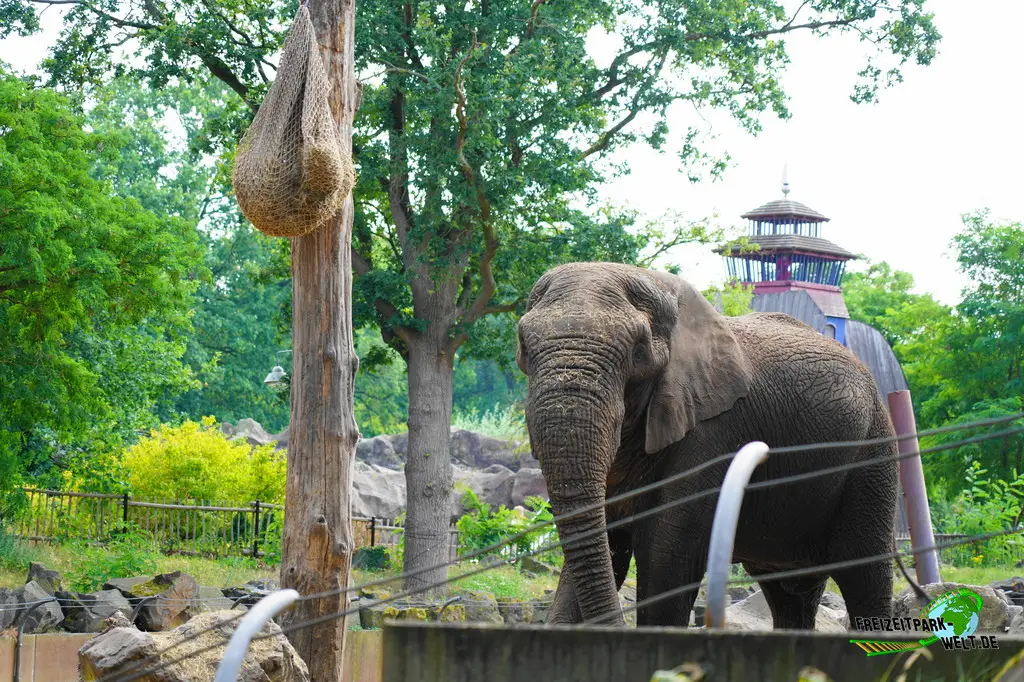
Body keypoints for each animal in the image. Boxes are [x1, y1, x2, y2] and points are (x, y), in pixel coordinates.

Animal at [515, 262, 899, 629]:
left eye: (639, 349)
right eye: (523, 347)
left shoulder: (715, 433)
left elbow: (665, 557)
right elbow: (600, 544)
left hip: (874, 453)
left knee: (864, 576)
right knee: (790, 595)